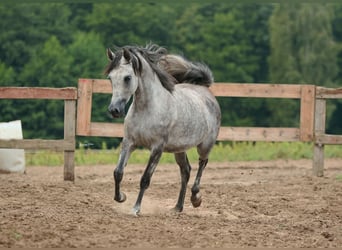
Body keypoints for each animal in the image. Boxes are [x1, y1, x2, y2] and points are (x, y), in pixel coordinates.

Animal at [105, 44, 222, 215]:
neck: (147, 109)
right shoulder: (129, 142)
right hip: (179, 149)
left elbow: (145, 179)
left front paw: (135, 209)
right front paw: (121, 197)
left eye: (127, 78)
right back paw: (177, 207)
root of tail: (205, 91)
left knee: (202, 163)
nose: (114, 110)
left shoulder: (157, 148)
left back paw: (195, 198)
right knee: (186, 171)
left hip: (205, 145)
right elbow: (118, 172)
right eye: (110, 78)